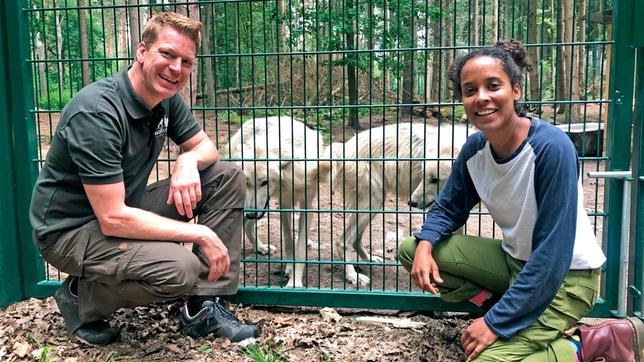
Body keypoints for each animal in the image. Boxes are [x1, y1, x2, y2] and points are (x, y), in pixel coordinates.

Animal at [224, 117, 330, 288]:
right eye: (247, 182)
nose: (251, 214)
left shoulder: (306, 205)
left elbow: (300, 247)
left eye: (265, 182)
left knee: (247, 224)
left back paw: (261, 247)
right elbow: (288, 240)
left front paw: (295, 282)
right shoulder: (283, 204)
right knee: (246, 223)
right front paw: (289, 268)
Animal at [328, 123, 472, 288]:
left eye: (435, 180)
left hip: (373, 206)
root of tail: (345, 146)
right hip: (373, 203)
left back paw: (370, 259)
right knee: (342, 241)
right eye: (424, 176)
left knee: (355, 239)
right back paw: (353, 276)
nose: (411, 202)